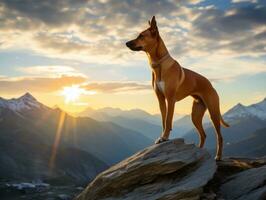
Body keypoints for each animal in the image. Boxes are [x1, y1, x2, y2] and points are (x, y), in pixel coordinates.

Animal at [125, 15, 230, 160]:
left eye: (141, 36)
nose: (126, 43)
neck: (158, 64)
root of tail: (210, 84)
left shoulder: (170, 99)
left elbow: (168, 120)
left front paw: (164, 137)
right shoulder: (161, 100)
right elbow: (164, 121)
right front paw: (162, 137)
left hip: (213, 112)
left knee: (219, 136)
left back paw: (218, 156)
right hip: (195, 115)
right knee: (203, 134)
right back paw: (200, 152)